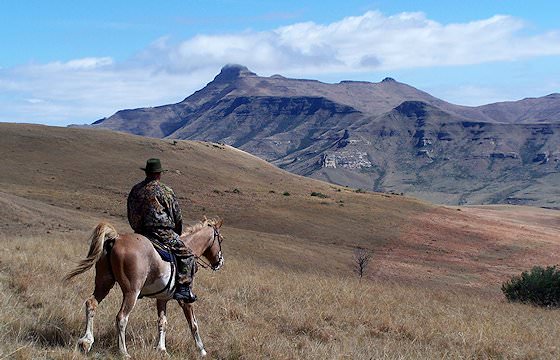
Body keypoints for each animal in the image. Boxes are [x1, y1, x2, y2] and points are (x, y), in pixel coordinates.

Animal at [64, 217, 224, 358]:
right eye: (221, 239)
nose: (220, 262)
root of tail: (116, 238)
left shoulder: (162, 299)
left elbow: (162, 322)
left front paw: (162, 349)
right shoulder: (185, 299)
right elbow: (193, 324)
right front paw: (202, 351)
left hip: (104, 284)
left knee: (91, 304)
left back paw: (86, 341)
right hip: (131, 292)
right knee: (121, 317)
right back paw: (123, 352)